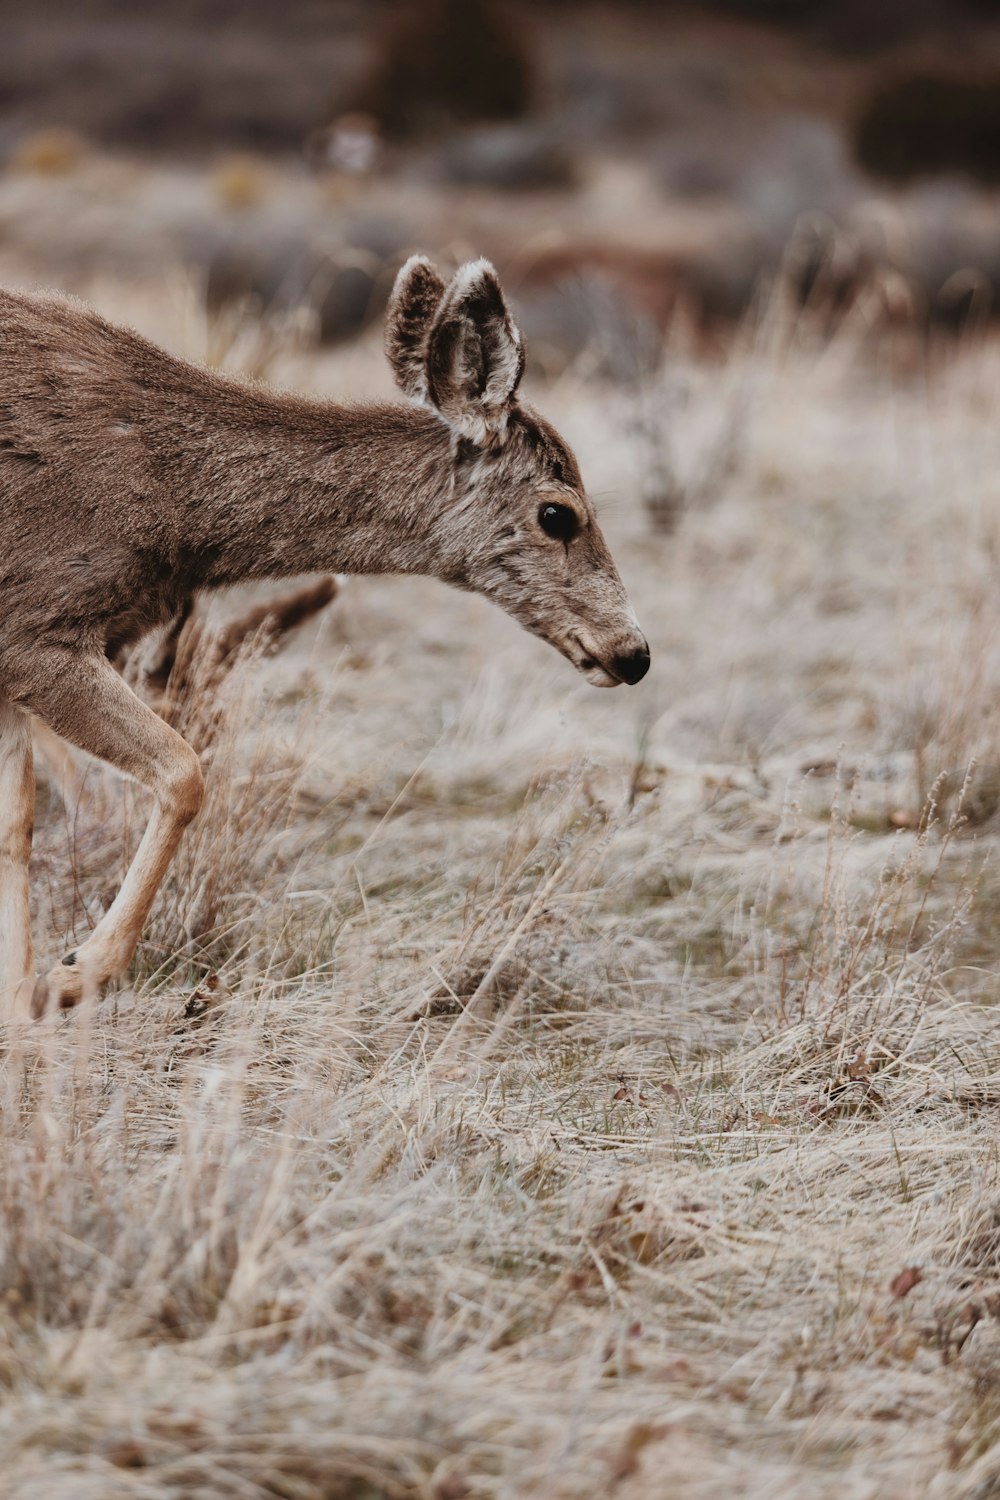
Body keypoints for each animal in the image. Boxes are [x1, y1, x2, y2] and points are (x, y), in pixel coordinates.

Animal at [0, 258, 650, 1020]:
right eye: (558, 514)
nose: (632, 652)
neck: (173, 501)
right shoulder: (39, 629)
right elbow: (184, 772)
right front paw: (76, 974)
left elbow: (16, 827)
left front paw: (23, 994)